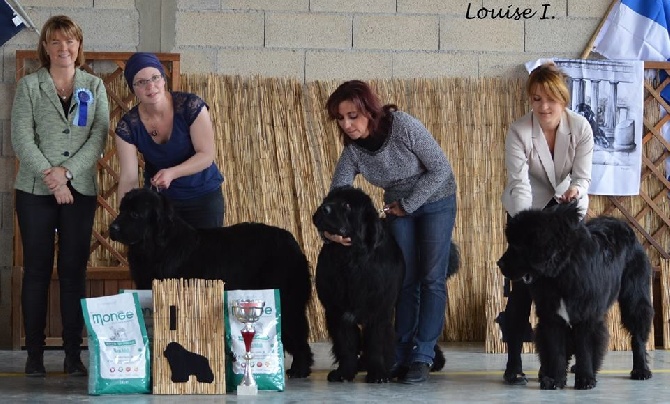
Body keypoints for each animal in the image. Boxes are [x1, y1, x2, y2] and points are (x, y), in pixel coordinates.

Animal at [109, 188, 316, 378]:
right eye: (121, 209)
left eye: (135, 214)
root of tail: (292, 242)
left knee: (297, 333)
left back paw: (300, 369)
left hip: (287, 301)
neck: (160, 246)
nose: (112, 228)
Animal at [316, 186, 462, 382]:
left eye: (346, 205)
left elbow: (376, 343)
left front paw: (378, 373)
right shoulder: (337, 311)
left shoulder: (380, 310)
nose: (324, 209)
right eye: (327, 200)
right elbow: (346, 344)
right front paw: (344, 372)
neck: (351, 259)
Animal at [498, 204, 656, 390]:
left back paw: (641, 370)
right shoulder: (552, 316)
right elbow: (556, 350)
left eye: (516, 246)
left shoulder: (587, 315)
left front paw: (585, 379)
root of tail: (623, 225)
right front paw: (555, 379)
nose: (499, 263)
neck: (562, 272)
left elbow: (585, 347)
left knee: (638, 335)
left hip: (635, 297)